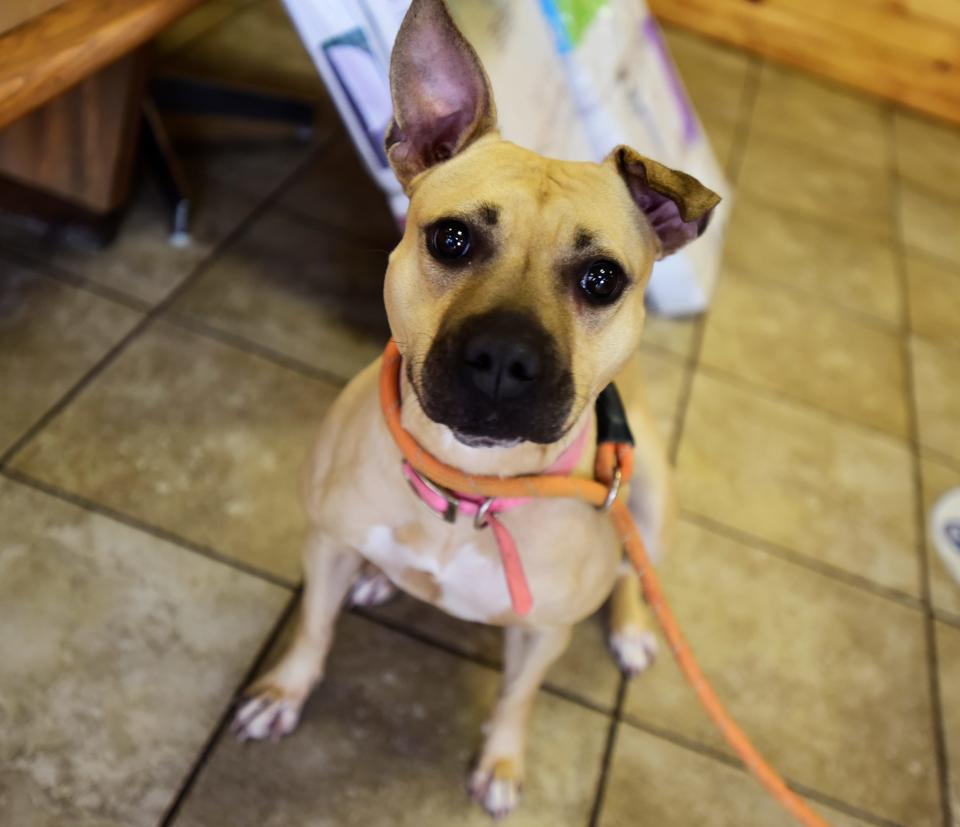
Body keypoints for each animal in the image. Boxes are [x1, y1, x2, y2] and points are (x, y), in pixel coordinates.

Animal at [234, 0, 720, 816]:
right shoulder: (326, 542)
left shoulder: (544, 629)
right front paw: (285, 692)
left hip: (651, 496)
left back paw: (629, 626)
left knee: (634, 569)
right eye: (452, 238)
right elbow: (313, 627)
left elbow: (518, 697)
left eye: (601, 278)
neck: (468, 491)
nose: (504, 359)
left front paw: (500, 763)